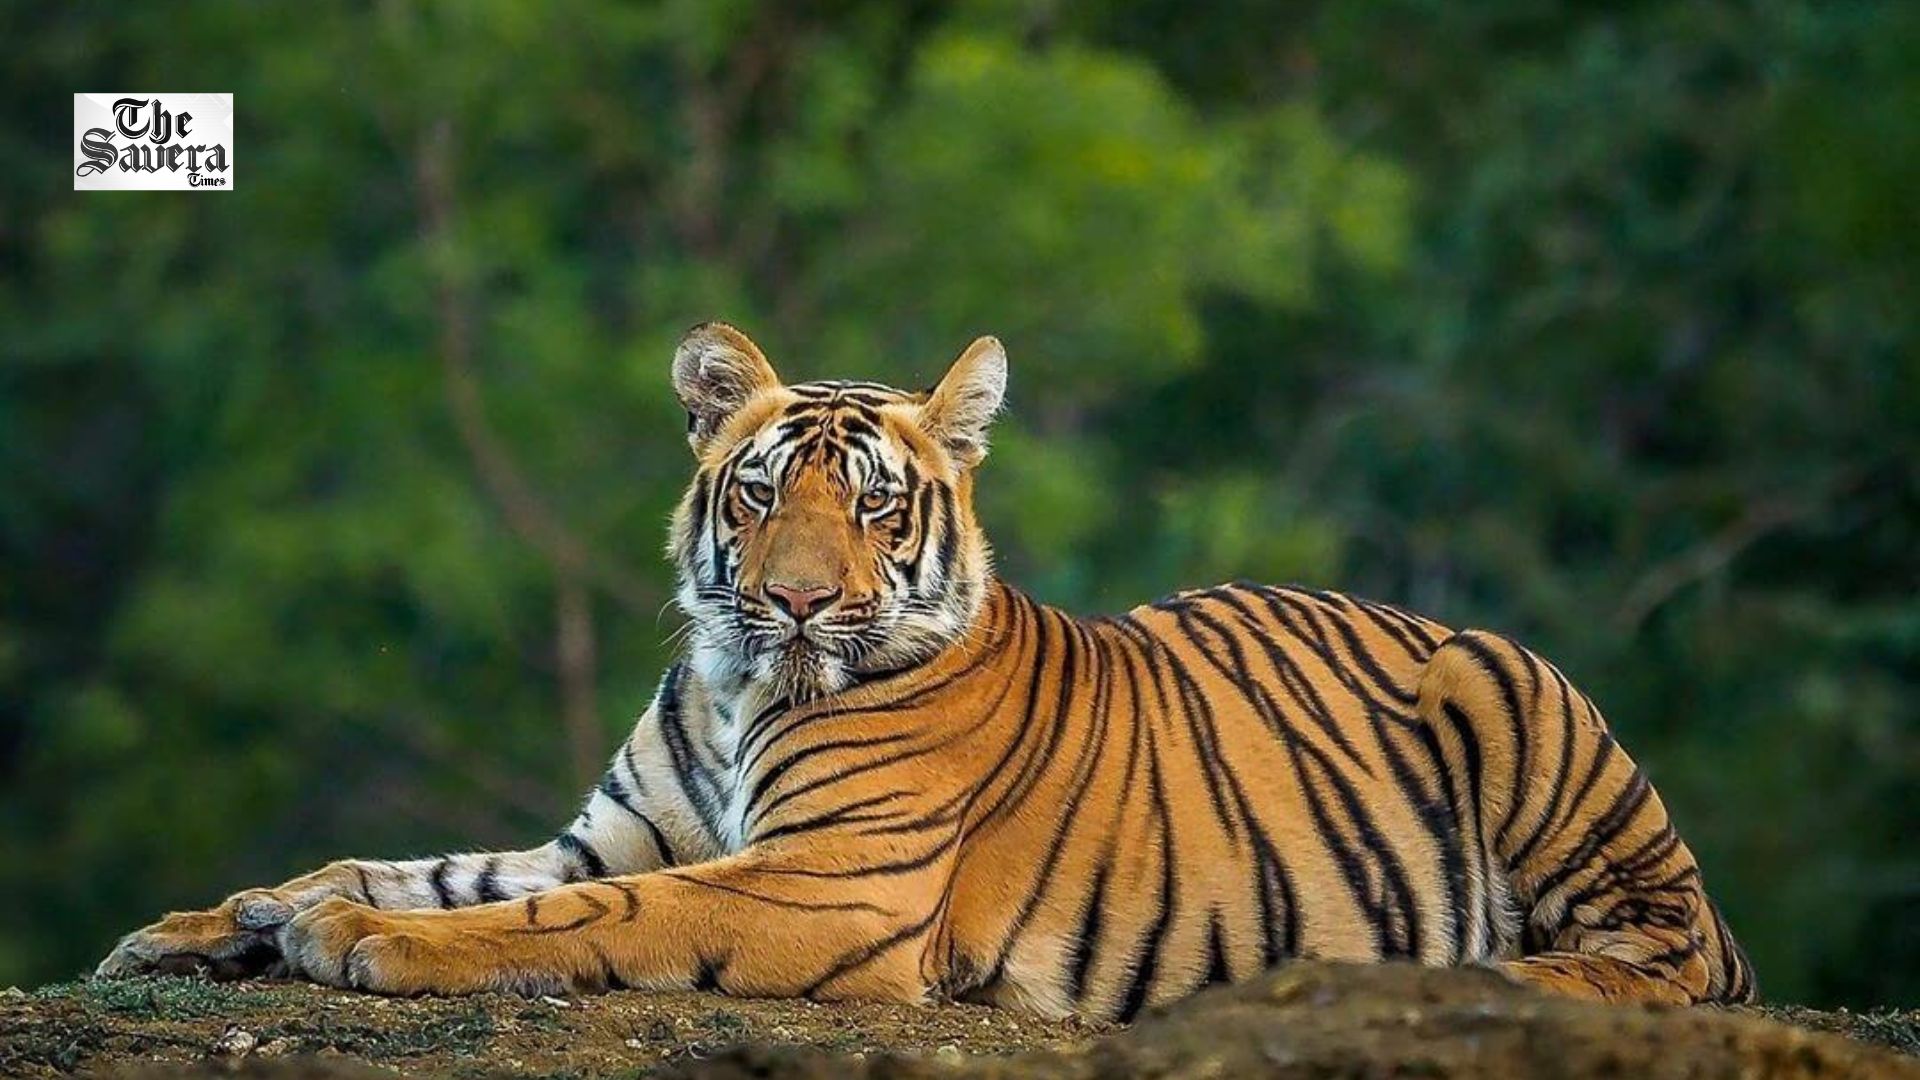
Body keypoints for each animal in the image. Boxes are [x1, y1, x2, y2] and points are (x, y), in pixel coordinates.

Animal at [97, 322, 1755, 1017]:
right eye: (763, 493)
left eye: (878, 506)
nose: (795, 601)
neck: (734, 684)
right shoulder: (611, 831)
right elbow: (407, 863)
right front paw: (215, 924)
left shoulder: (826, 882)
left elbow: (567, 917)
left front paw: (355, 944)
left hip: (1516, 703)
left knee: (1663, 961)